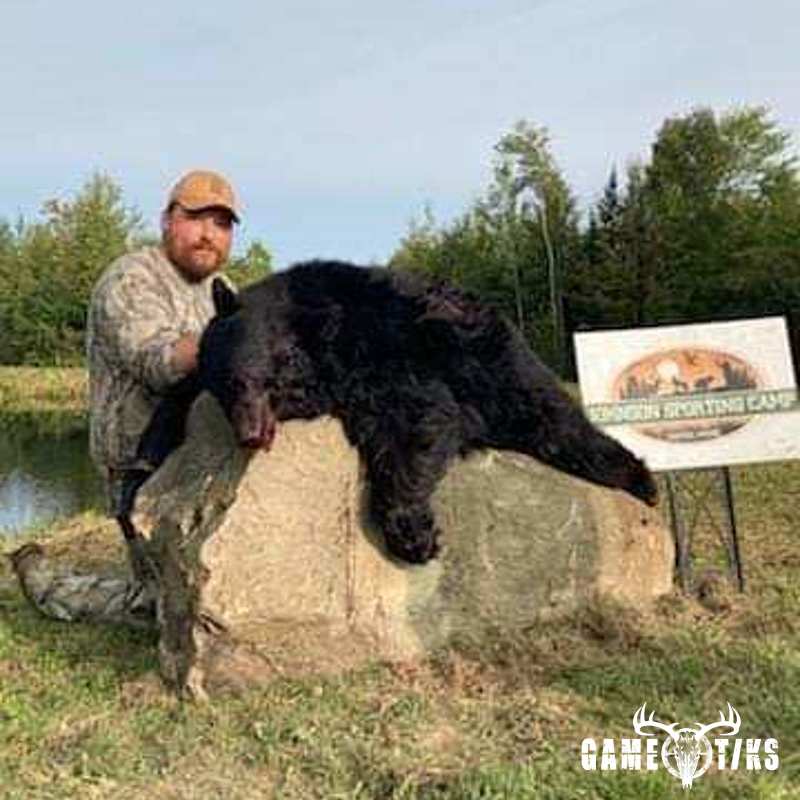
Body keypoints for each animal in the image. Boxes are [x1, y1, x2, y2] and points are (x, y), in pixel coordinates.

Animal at [135, 260, 658, 564]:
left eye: (244, 380)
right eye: (222, 394)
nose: (249, 434)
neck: (312, 335)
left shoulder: (382, 347)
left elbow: (415, 419)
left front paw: (413, 535)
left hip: (490, 358)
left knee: (549, 415)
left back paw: (640, 481)